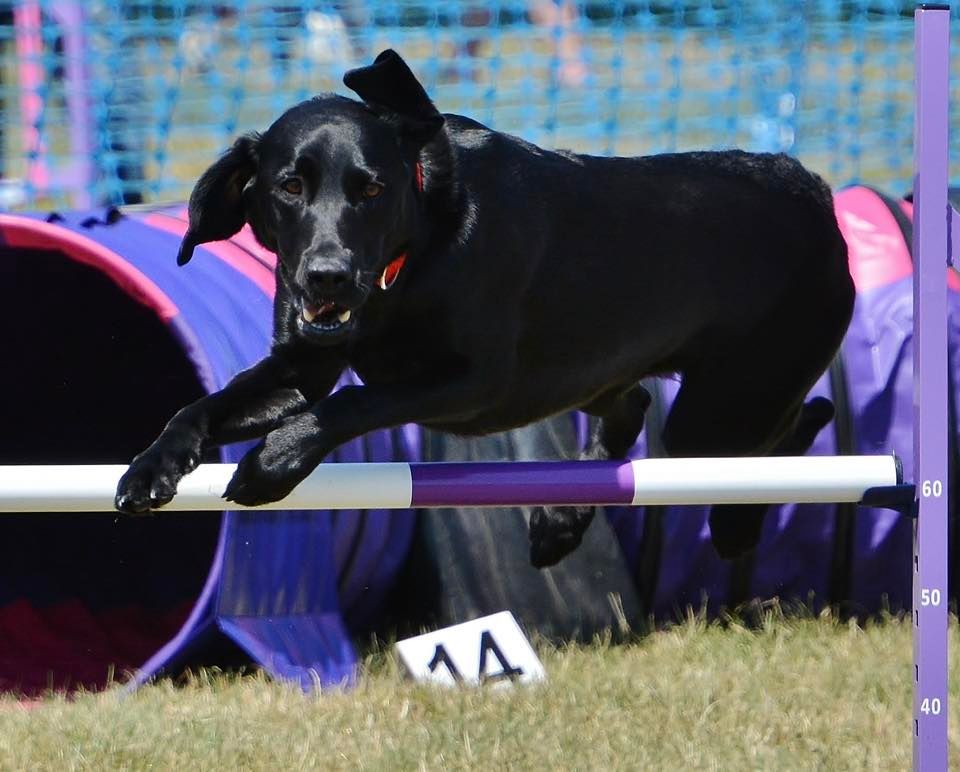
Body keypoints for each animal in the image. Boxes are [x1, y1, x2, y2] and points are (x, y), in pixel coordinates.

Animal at [114, 49, 856, 568]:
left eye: (371, 189)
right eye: (289, 186)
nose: (327, 278)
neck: (410, 262)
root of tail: (813, 187)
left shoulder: (475, 382)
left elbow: (354, 402)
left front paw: (273, 463)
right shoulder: (301, 366)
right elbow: (202, 407)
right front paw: (149, 470)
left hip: (720, 415)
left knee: (795, 427)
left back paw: (734, 524)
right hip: (604, 378)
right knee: (635, 407)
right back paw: (561, 525)